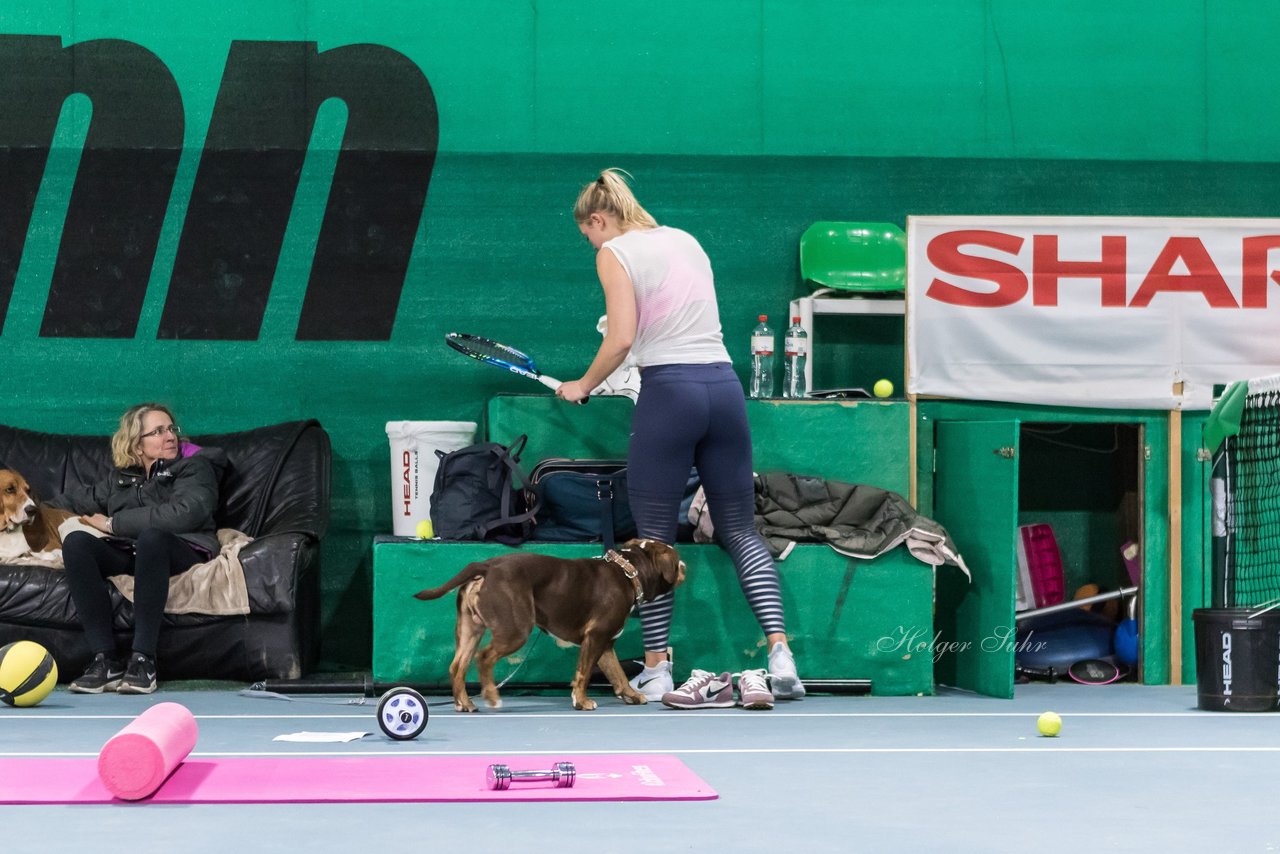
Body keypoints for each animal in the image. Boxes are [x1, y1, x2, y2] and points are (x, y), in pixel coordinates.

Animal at [414, 540, 686, 717]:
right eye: (675, 561)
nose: (684, 565)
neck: (629, 572)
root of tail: (487, 566)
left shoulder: (606, 644)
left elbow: (617, 674)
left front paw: (631, 695)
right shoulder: (595, 637)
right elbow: (583, 673)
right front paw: (582, 701)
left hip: (470, 630)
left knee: (457, 666)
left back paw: (464, 703)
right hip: (515, 630)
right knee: (484, 658)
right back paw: (491, 696)